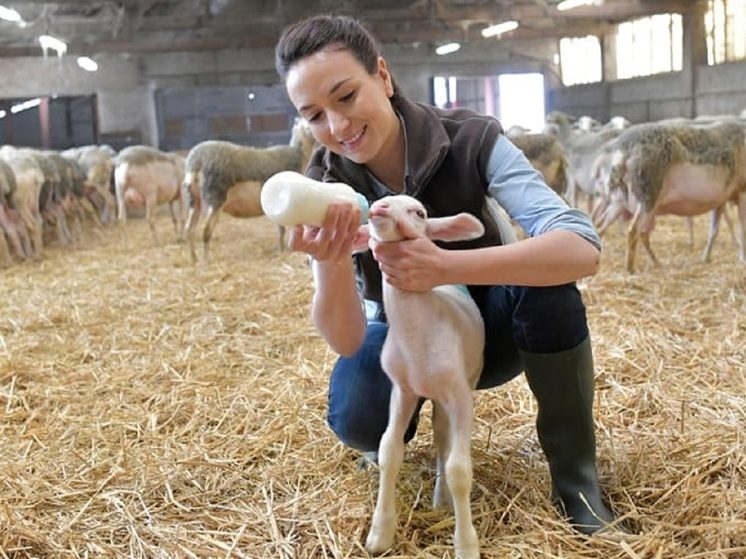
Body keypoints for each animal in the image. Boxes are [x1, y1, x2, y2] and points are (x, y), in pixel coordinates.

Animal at [185, 118, 316, 262]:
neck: (298, 155)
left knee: (189, 229)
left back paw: (194, 258)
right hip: (215, 197)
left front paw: (280, 250)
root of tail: (196, 161)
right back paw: (206, 260)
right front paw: (282, 251)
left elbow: (280, 229)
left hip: (194, 198)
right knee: (206, 230)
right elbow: (282, 229)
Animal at [354, 196, 486, 559]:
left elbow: (460, 470)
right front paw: (380, 533)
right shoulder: (402, 390)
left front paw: (466, 543)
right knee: (441, 437)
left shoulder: (460, 396)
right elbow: (389, 451)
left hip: (462, 384)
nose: (380, 207)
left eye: (419, 212)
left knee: (445, 441)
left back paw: (443, 499)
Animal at [592, 121, 744, 274]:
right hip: (647, 194)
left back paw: (656, 264)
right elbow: (742, 229)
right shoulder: (742, 192)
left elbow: (713, 231)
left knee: (601, 226)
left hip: (619, 200)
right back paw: (631, 270)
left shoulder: (720, 201)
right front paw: (742, 258)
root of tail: (622, 152)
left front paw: (705, 259)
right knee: (634, 230)